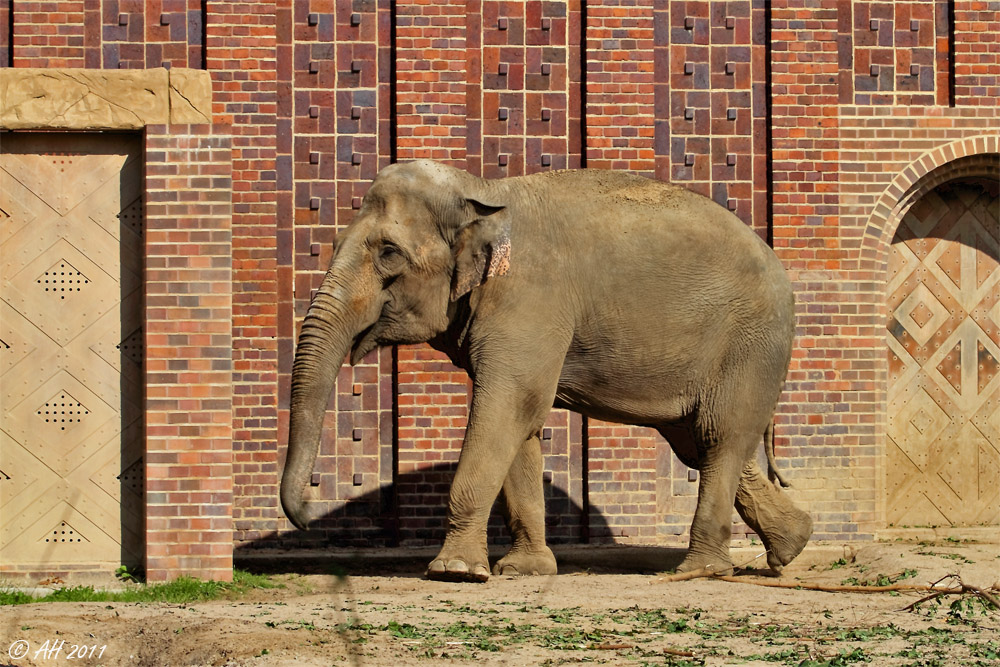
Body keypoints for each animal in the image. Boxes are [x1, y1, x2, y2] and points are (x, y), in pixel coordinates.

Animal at [276, 159, 812, 580]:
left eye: (388, 252)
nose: (305, 515)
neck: (484, 193)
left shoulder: (530, 299)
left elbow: (506, 406)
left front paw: (455, 572)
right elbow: (521, 419)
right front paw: (524, 570)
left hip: (750, 344)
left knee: (719, 437)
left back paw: (698, 571)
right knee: (698, 440)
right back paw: (793, 545)